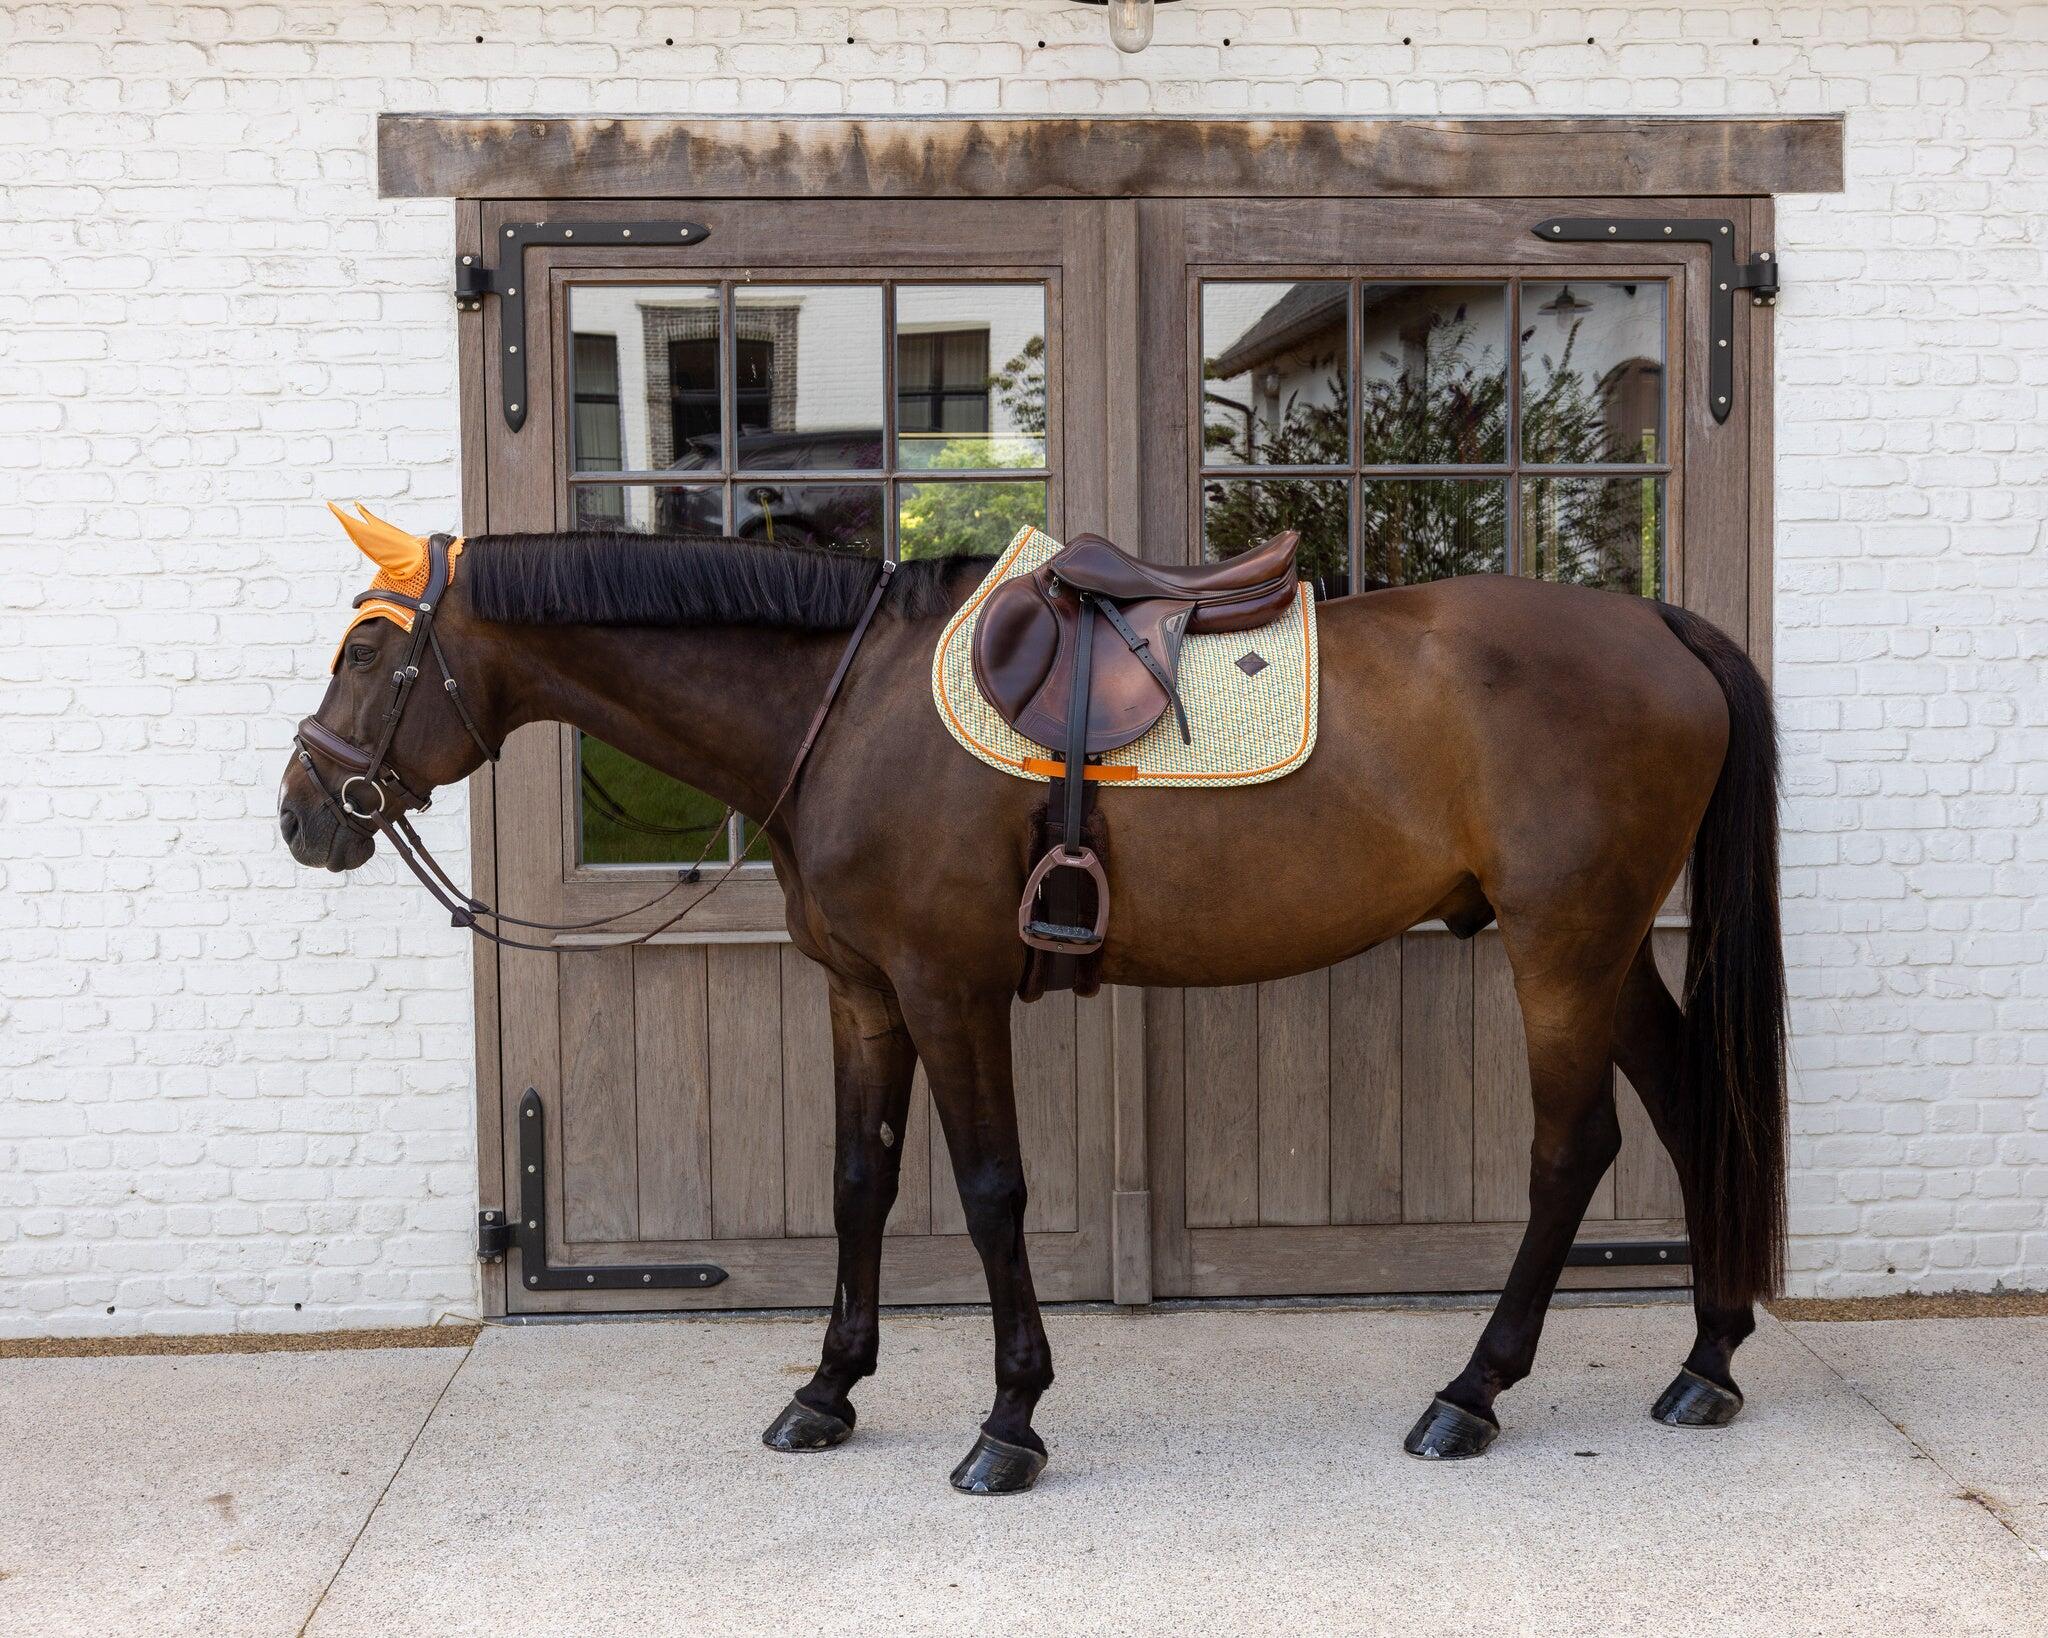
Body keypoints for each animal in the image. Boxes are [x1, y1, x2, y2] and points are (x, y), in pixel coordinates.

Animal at [280, 506, 1785, 1493]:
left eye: (364, 654)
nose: (302, 812)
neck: (847, 707)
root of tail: (1659, 622)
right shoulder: (864, 994)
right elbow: (860, 1180)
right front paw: (826, 1391)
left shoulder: (949, 990)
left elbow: (991, 1187)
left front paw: (1007, 1421)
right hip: (1603, 945)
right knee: (1686, 1098)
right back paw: (1706, 1362)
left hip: (1560, 942)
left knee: (1572, 1150)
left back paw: (1470, 1394)